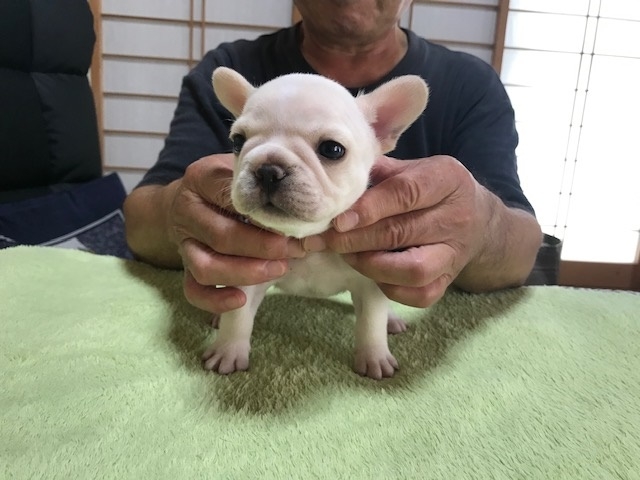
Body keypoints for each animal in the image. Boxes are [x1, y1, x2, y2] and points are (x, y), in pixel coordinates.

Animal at [203, 66, 428, 379]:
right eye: (237, 142)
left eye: (332, 149)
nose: (268, 169)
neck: (308, 238)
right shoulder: (251, 273)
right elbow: (238, 315)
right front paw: (227, 351)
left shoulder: (369, 282)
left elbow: (371, 322)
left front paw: (374, 358)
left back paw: (391, 320)